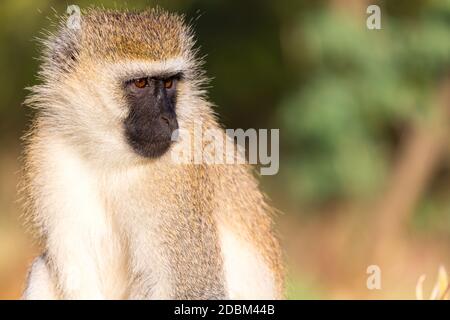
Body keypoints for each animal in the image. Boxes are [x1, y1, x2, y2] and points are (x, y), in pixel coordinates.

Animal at [21, 7, 284, 300]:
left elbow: (195, 288)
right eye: (140, 83)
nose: (168, 119)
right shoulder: (48, 150)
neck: (108, 155)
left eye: (169, 83)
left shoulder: (178, 174)